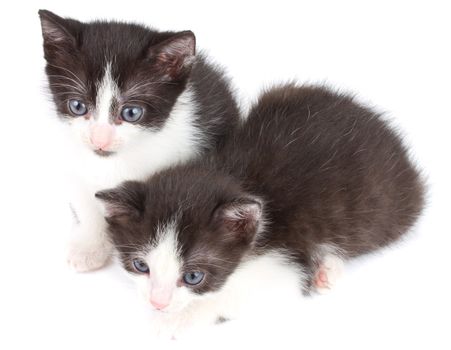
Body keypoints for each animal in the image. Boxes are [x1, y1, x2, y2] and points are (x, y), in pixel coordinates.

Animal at [97, 84, 426, 336]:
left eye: (193, 277)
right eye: (141, 266)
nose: (158, 303)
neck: (231, 175)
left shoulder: (284, 259)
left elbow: (233, 295)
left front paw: (174, 320)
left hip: (385, 210)